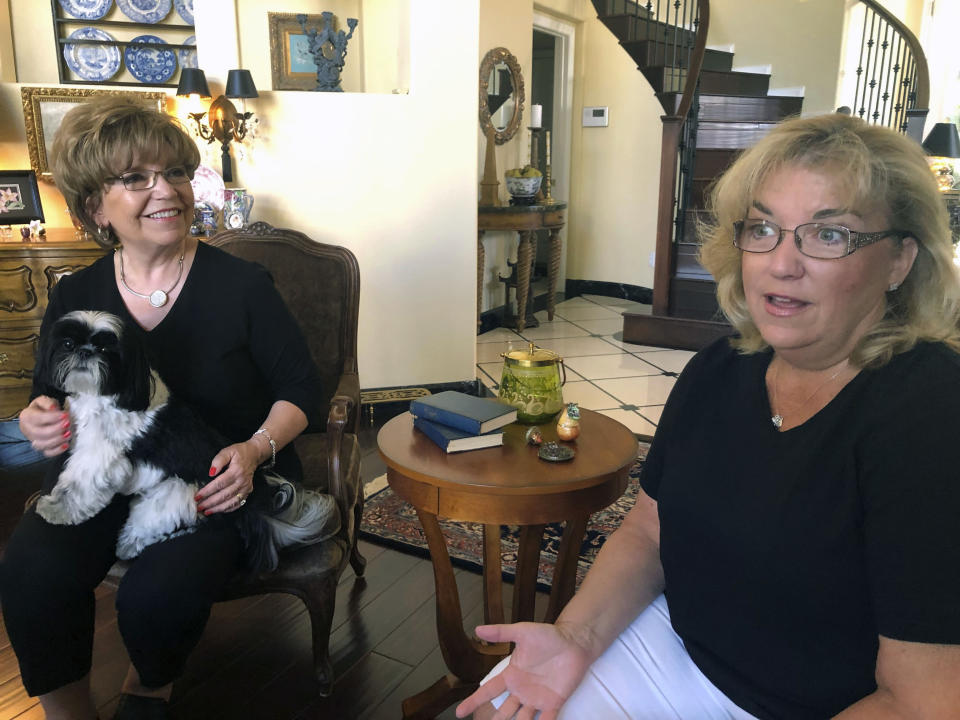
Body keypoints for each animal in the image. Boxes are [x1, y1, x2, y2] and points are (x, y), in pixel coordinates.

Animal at [33, 310, 340, 572]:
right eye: (68, 343)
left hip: (178, 495)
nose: (85, 351)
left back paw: (131, 544)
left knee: (159, 522)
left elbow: (77, 485)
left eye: (107, 350)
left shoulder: (100, 455)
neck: (111, 393)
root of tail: (251, 506)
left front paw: (54, 508)